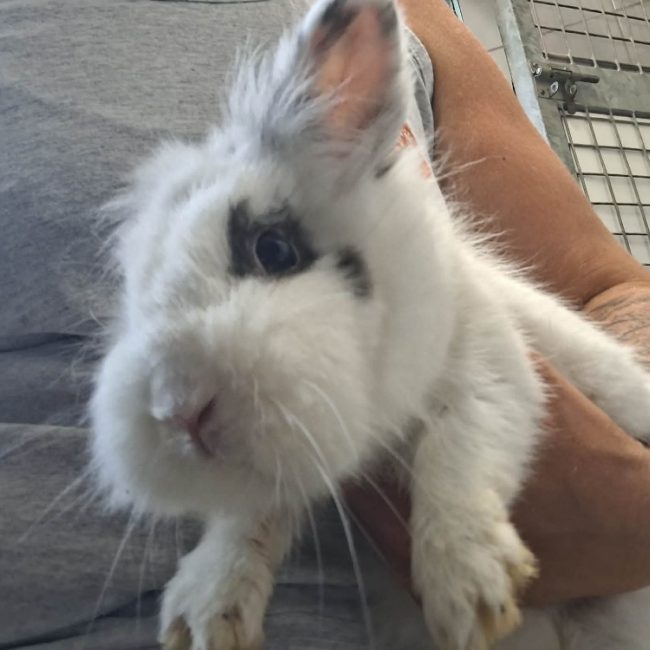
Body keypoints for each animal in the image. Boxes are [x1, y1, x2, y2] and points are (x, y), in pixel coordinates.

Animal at [89, 0, 650, 648]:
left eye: (273, 249)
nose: (178, 411)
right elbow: (247, 518)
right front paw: (206, 608)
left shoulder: (484, 357)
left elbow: (462, 448)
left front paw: (467, 585)